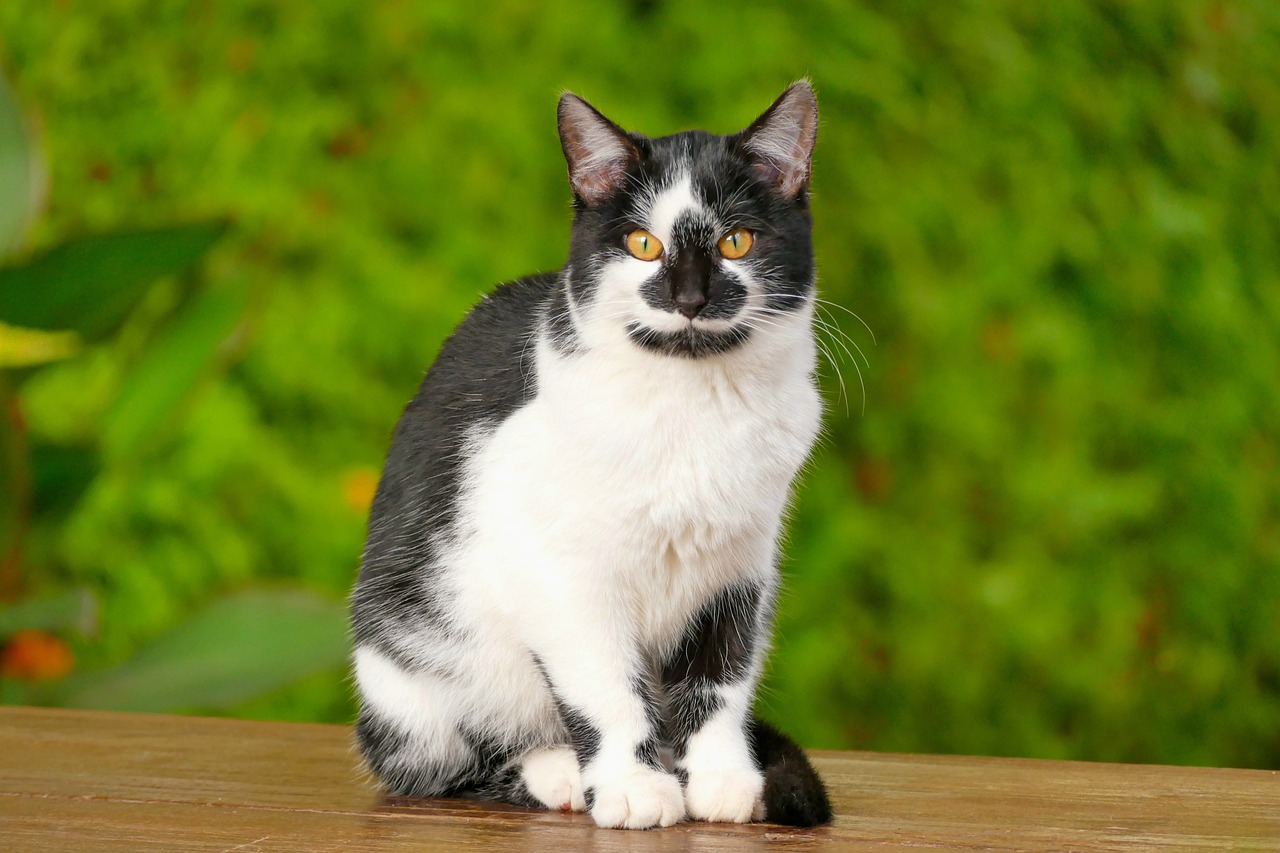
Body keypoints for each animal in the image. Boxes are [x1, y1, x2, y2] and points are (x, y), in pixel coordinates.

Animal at [348, 78, 829, 824]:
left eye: (737, 240)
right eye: (642, 243)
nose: (690, 298)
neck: (691, 402)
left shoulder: (739, 570)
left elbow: (721, 675)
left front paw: (720, 777)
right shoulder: (560, 573)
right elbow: (606, 682)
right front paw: (633, 786)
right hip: (407, 673)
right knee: (438, 765)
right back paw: (556, 770)